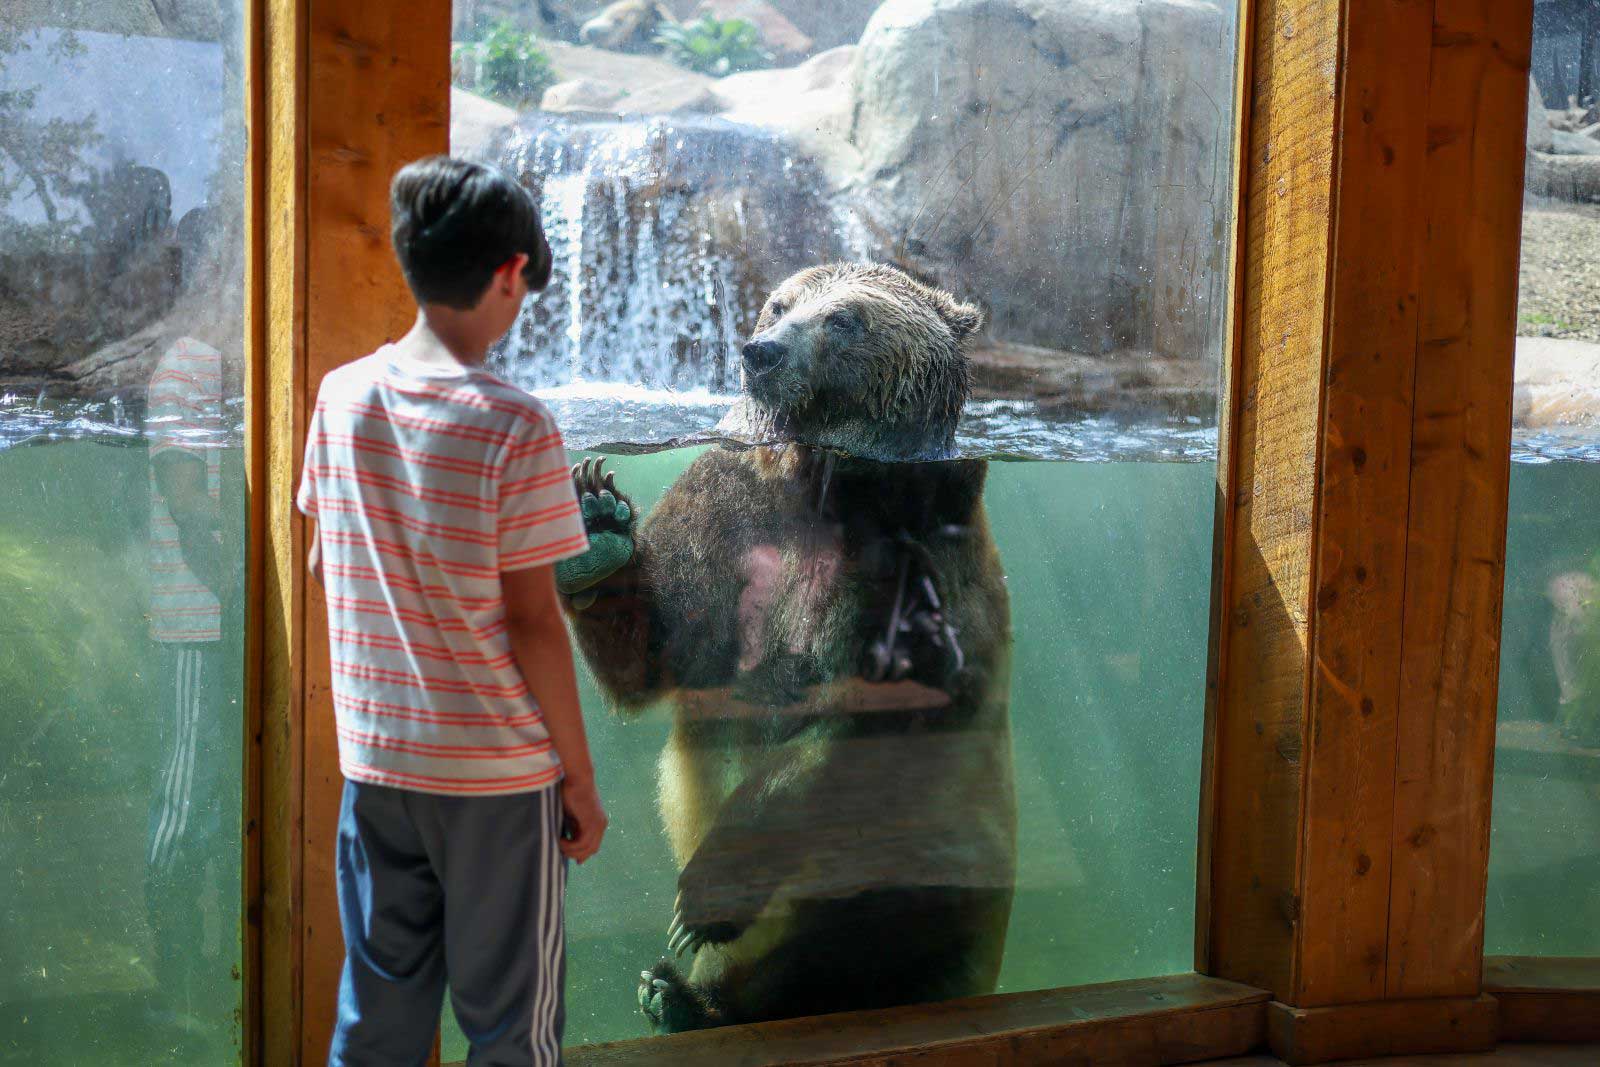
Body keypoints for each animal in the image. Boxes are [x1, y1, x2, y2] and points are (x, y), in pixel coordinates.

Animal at [556, 263, 1017, 1034]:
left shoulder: (905, 558)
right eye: (779, 303)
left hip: (932, 877)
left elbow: (853, 725)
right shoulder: (728, 514)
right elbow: (660, 654)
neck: (821, 478)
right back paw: (675, 995)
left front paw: (700, 901)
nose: (761, 351)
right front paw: (596, 526)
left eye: (845, 319)